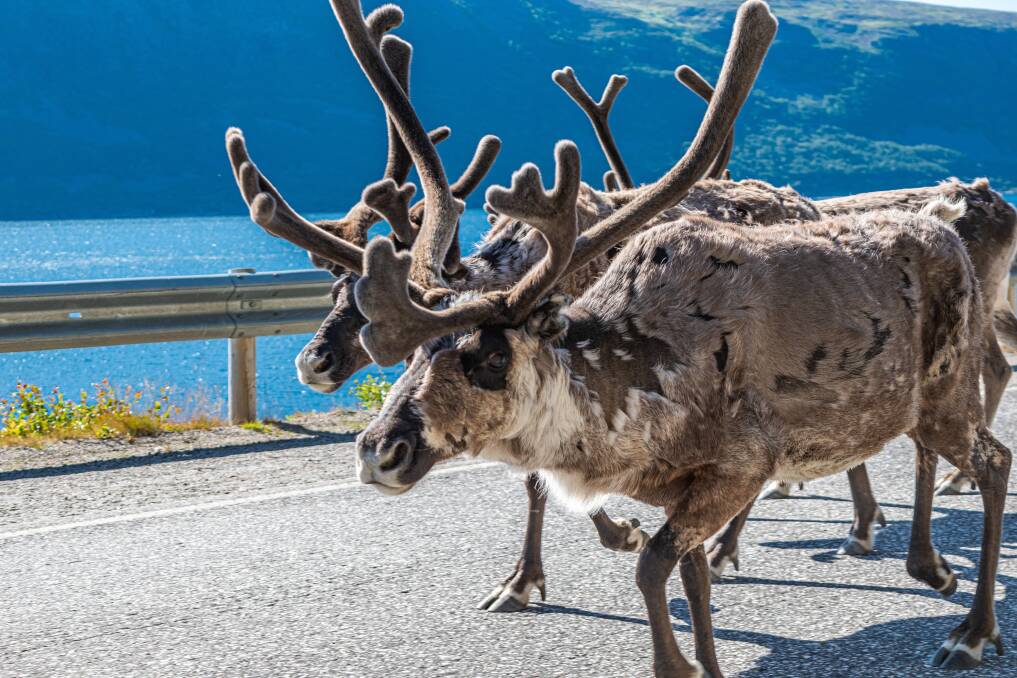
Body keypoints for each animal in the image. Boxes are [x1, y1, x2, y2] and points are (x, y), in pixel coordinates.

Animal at [344, 1, 1010, 674]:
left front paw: (677, 660)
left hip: (949, 387)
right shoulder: (677, 491)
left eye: (490, 356)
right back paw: (934, 569)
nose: (378, 450)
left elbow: (650, 566)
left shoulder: (738, 468)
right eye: (410, 356)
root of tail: (947, 226)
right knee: (935, 449)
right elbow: (694, 579)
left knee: (993, 459)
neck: (630, 394)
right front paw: (706, 653)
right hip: (918, 403)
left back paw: (972, 628)